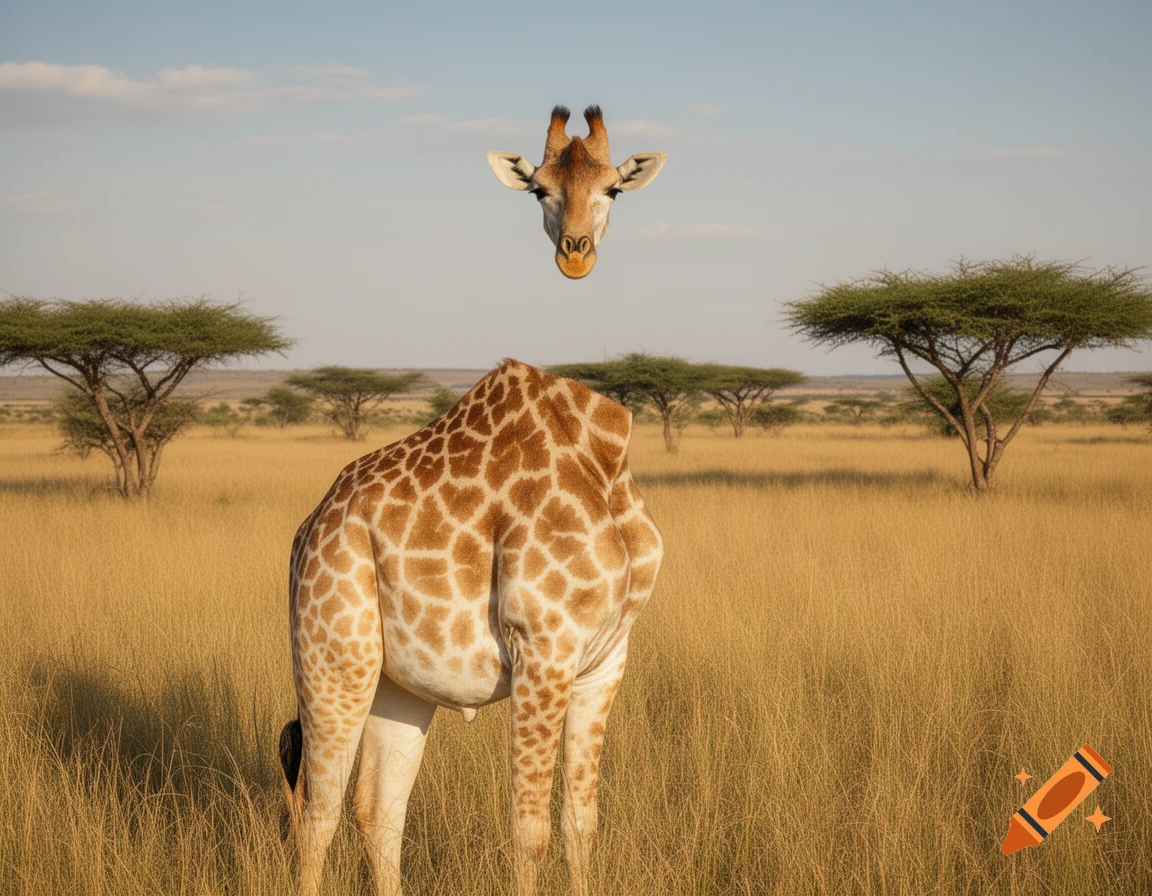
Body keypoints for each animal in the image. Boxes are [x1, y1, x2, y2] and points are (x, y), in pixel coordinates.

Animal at [279, 359, 663, 896]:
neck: (604, 449)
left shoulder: (604, 661)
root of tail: (310, 527)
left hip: (396, 684)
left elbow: (581, 824)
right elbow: (530, 831)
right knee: (317, 812)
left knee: (377, 808)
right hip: (333, 658)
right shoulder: (542, 645)